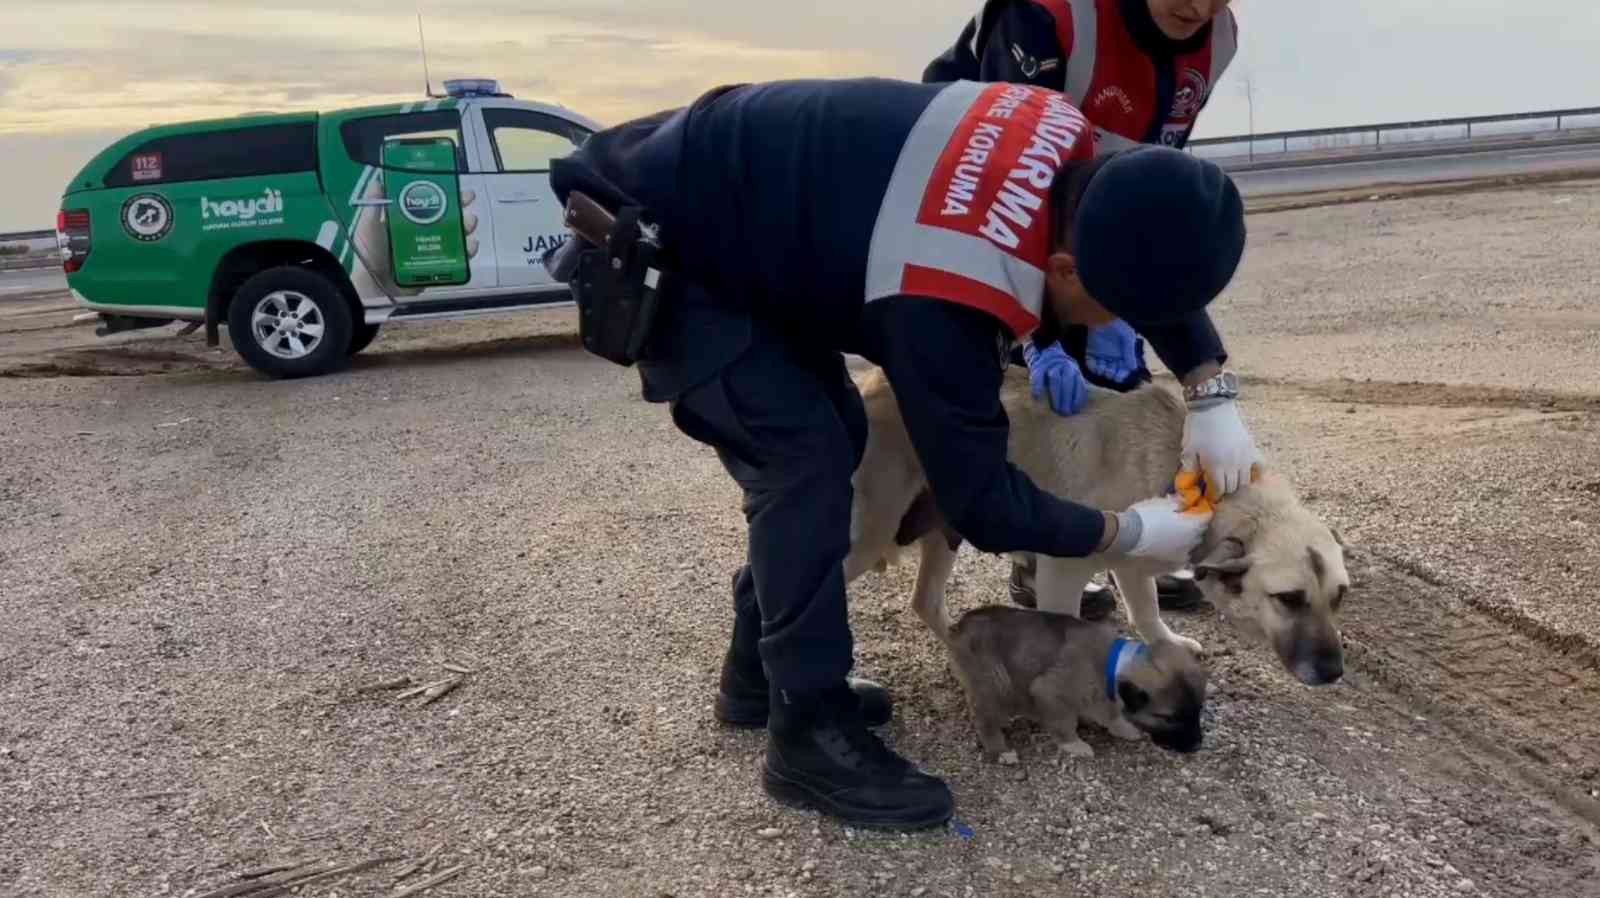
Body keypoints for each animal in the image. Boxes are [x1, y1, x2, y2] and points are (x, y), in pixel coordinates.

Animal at [838, 364, 1350, 685]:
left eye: (1339, 597)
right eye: (1288, 599)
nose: (1333, 673)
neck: (1190, 480)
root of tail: (872, 379)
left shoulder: (1133, 562)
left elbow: (1147, 612)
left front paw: (1166, 644)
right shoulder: (1064, 565)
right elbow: (1065, 625)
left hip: (951, 528)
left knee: (925, 602)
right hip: (869, 537)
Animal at [934, 601, 1203, 761]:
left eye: (1197, 711)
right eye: (1168, 718)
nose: (1197, 746)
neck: (1112, 665)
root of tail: (957, 628)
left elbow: (1111, 715)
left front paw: (1123, 728)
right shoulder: (1050, 693)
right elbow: (1064, 724)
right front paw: (1075, 745)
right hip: (993, 681)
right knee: (984, 720)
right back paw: (1002, 750)